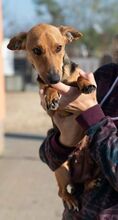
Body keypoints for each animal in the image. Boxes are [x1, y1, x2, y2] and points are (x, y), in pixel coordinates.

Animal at [7, 23, 97, 210]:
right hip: (61, 169)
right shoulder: (50, 106)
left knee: (86, 183)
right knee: (62, 192)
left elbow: (79, 76)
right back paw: (71, 198)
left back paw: (91, 182)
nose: (54, 78)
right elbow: (47, 88)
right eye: (36, 50)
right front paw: (51, 94)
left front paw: (85, 83)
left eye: (59, 48)